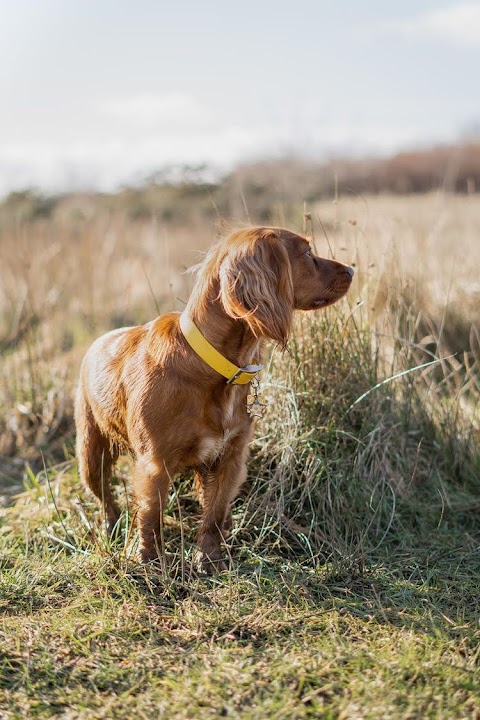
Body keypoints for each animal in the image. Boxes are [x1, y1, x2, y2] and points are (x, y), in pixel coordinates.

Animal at [74, 228, 352, 572]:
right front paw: (151, 562)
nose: (352, 271)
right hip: (91, 455)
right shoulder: (155, 465)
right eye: (307, 253)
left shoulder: (231, 456)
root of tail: (98, 340)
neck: (215, 367)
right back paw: (110, 528)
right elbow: (151, 515)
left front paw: (210, 560)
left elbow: (214, 513)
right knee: (105, 498)